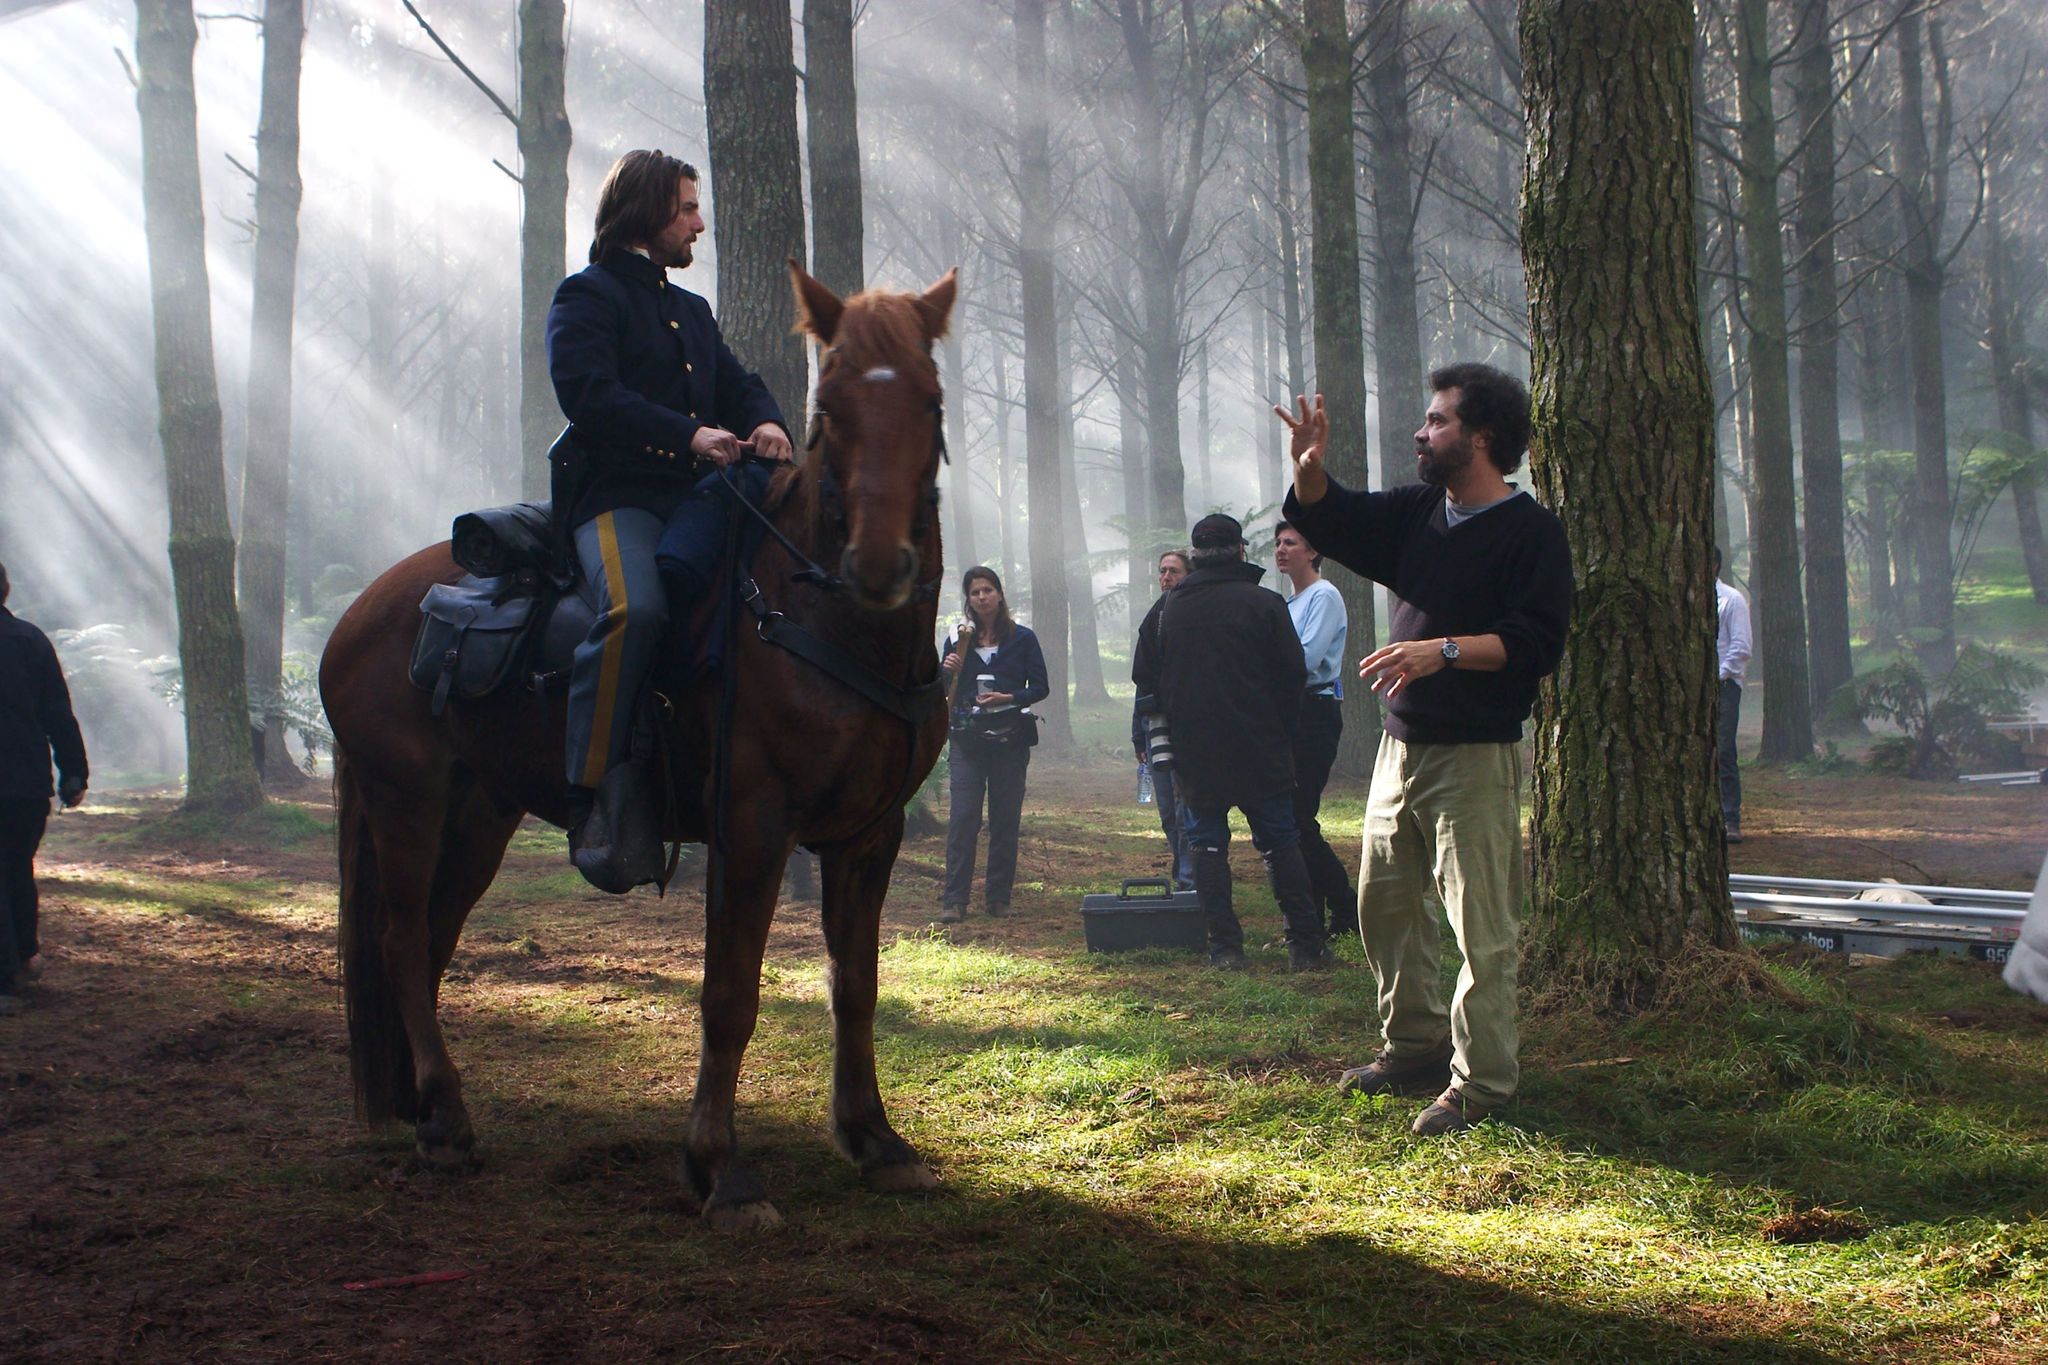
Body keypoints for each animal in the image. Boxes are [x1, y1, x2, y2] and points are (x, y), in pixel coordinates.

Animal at [319, 261, 958, 1236]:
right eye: (830, 408)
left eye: (929, 399)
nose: (879, 564)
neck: (816, 615)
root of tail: (360, 610)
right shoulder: (751, 828)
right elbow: (729, 996)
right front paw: (720, 1170)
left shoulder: (868, 835)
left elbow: (857, 985)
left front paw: (877, 1141)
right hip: (406, 801)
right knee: (398, 940)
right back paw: (445, 1116)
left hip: (481, 811)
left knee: (429, 941)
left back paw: (431, 1115)